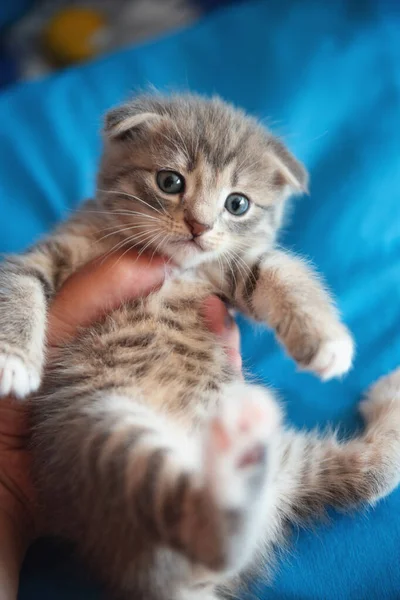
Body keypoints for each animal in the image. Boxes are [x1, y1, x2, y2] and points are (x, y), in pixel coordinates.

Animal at [0, 95, 400, 600]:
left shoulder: (226, 268)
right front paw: (12, 358)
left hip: (284, 464)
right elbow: (20, 283)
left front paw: (324, 339)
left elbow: (277, 270)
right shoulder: (48, 252)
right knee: (204, 527)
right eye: (170, 181)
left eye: (237, 203)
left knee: (370, 473)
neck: (172, 264)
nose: (199, 225)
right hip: (103, 434)